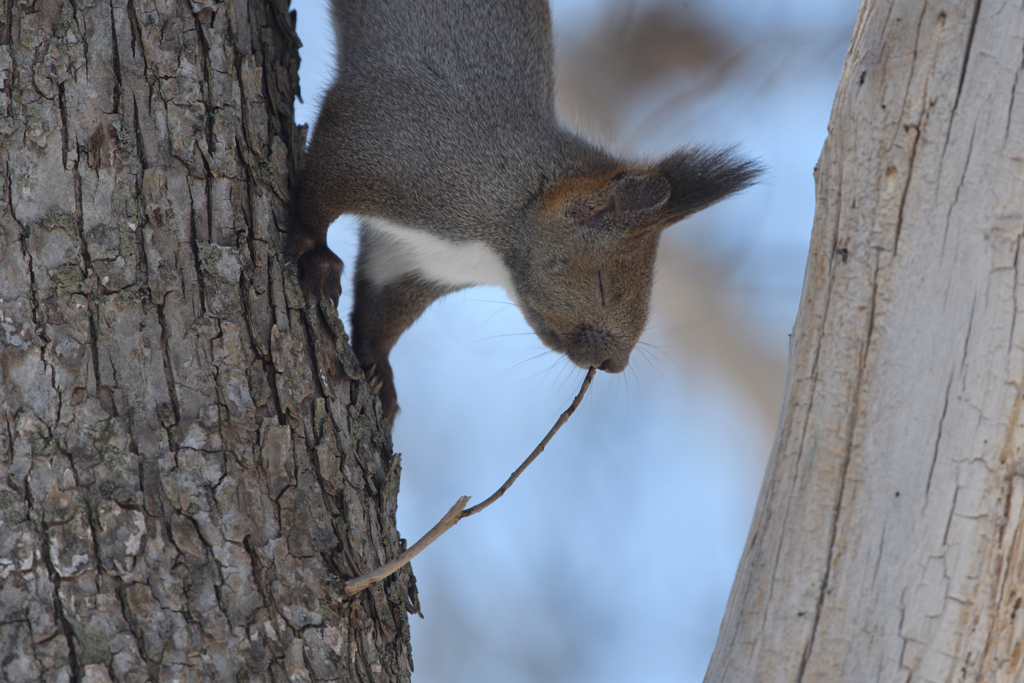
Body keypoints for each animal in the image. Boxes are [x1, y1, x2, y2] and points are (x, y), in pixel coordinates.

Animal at [286, 0, 761, 423]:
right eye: (603, 286)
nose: (615, 363)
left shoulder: (412, 260)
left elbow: (382, 308)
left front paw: (379, 371)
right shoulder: (384, 143)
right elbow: (321, 189)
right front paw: (315, 250)